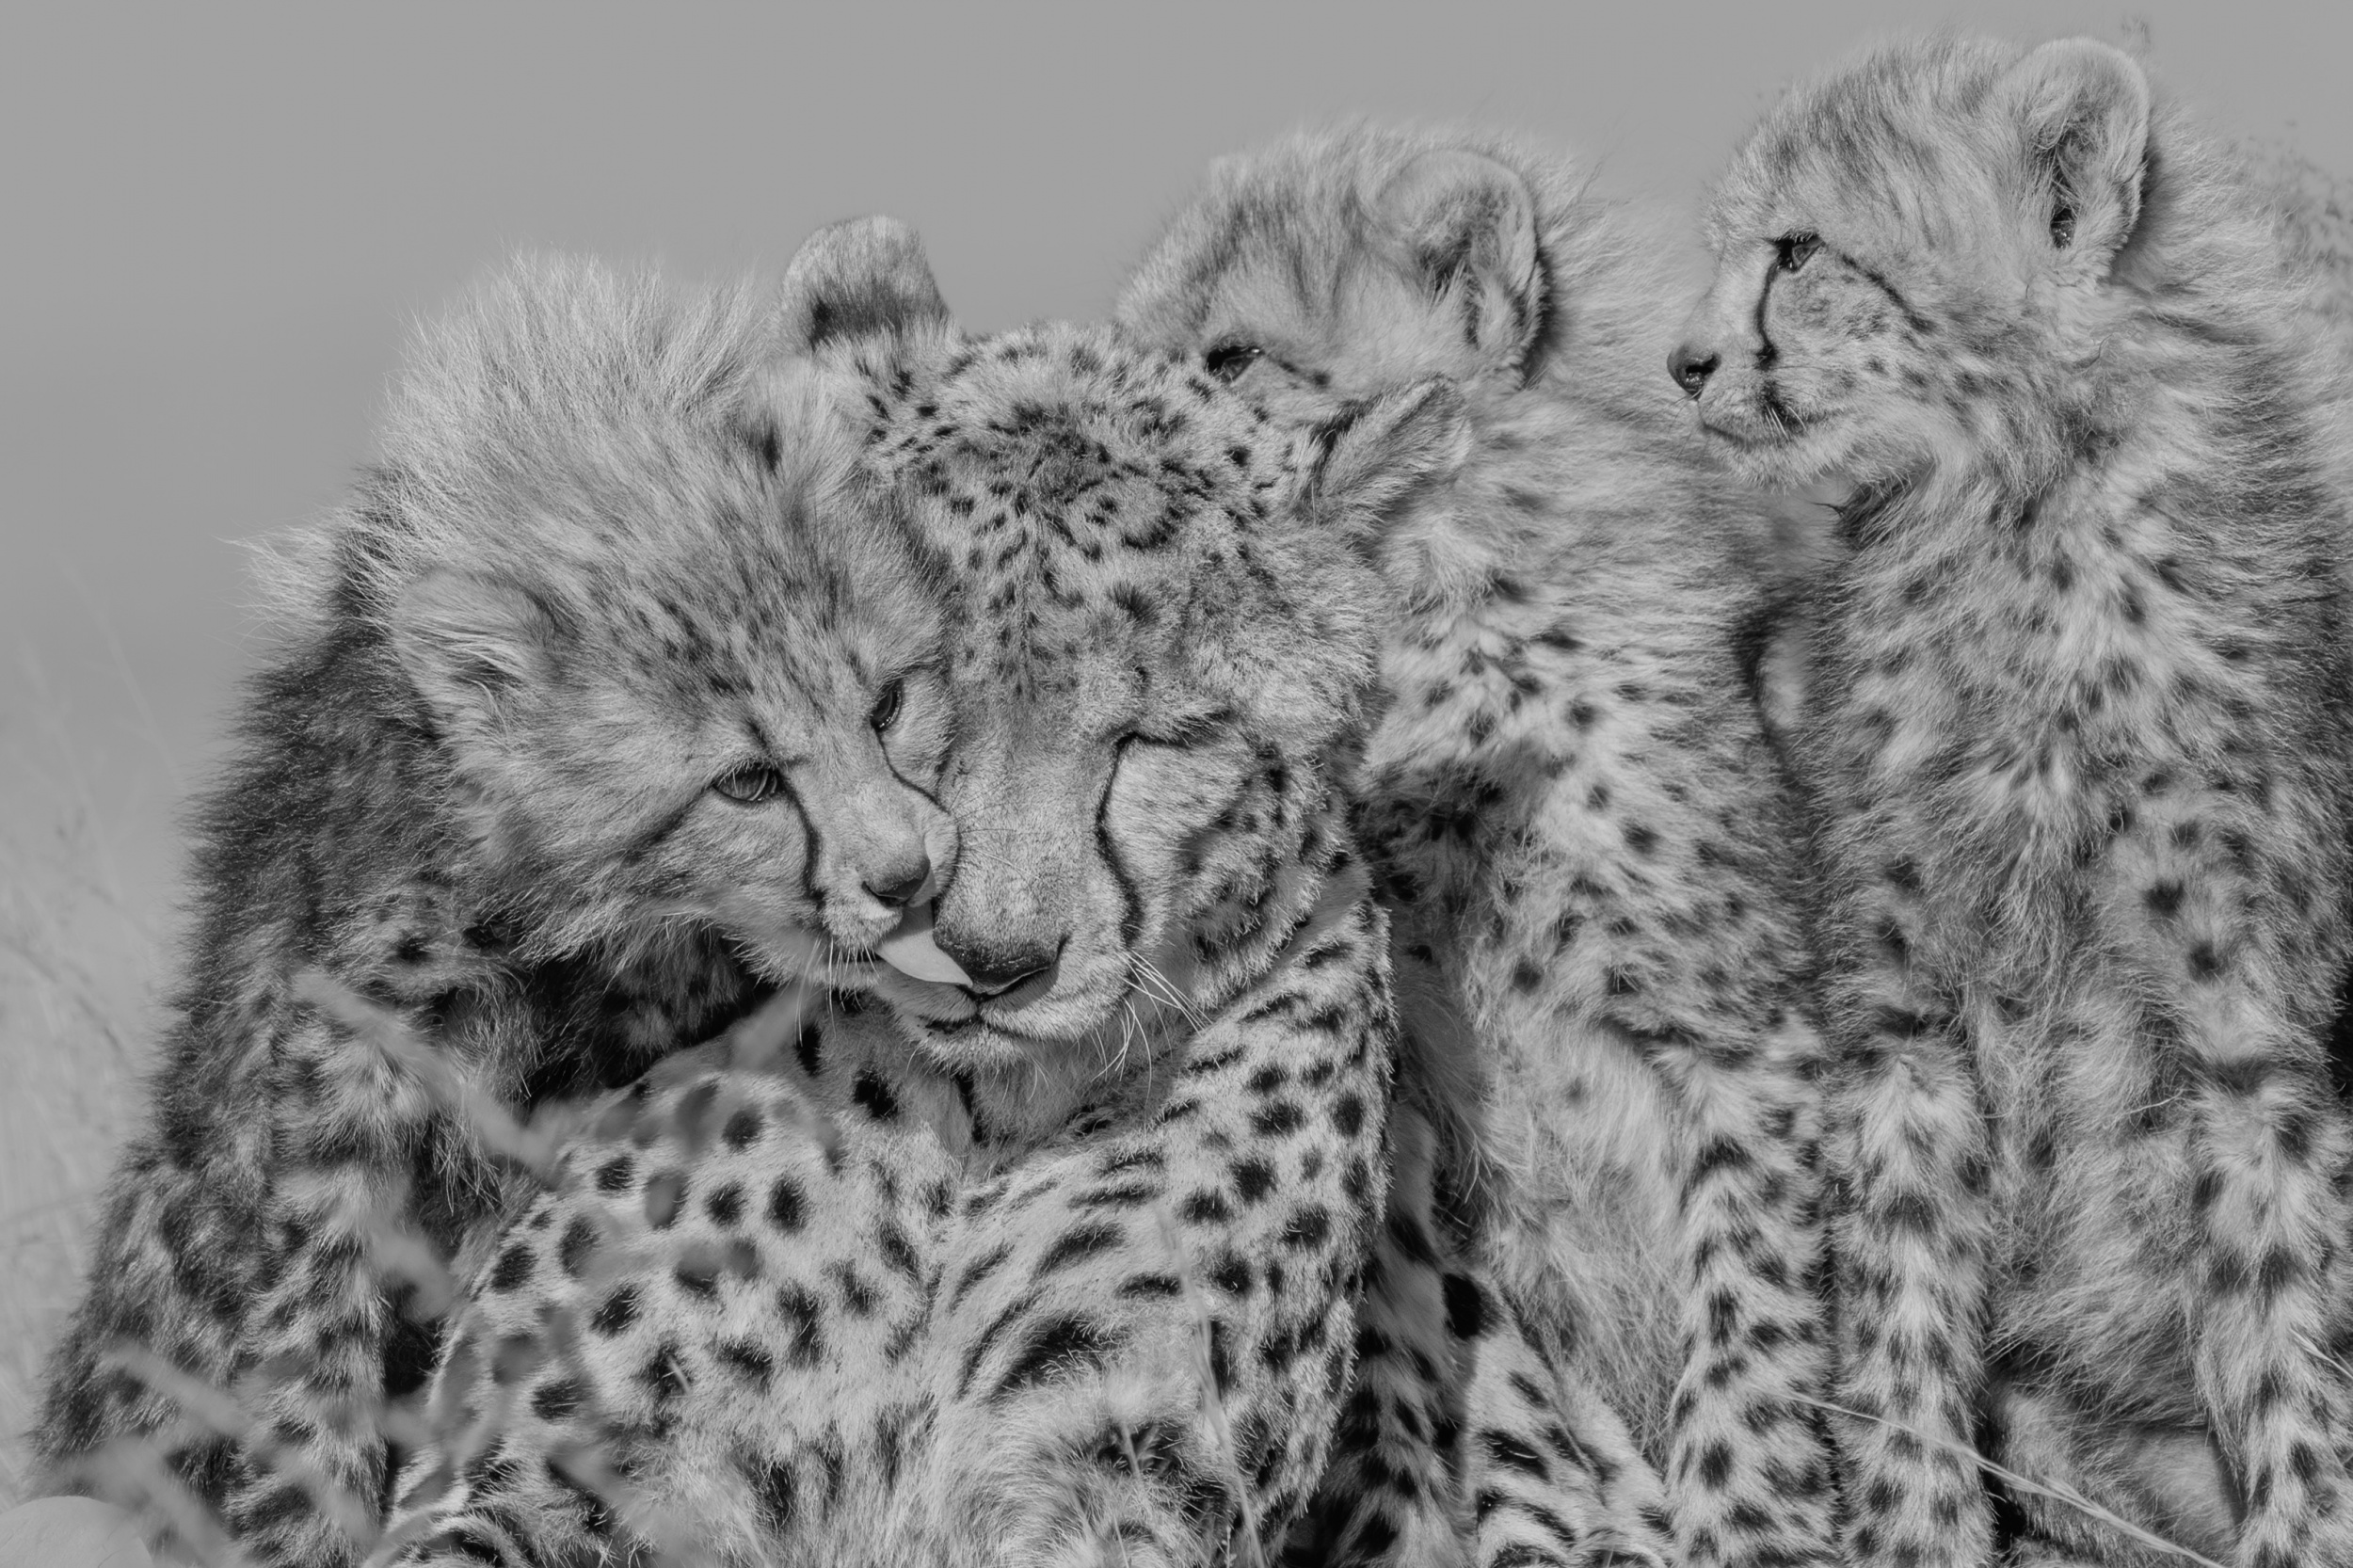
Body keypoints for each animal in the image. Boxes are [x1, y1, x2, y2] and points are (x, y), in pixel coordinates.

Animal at [32, 229, 967, 1567]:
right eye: (745, 779)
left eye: (888, 704)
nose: (905, 877)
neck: (566, 925)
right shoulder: (328, 1100)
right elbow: (302, 1360)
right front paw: (301, 1523)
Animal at [369, 234, 1478, 1568]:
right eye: (905, 698)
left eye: (1153, 736)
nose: (991, 957)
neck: (976, 1127)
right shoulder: (539, 1469)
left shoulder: (1124, 1475)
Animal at [1117, 122, 1839, 1568]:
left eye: (1229, 360)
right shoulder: (1403, 1115)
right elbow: (1463, 1360)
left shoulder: (1742, 1030)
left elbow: (1753, 1314)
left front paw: (1752, 1521)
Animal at [1671, 33, 2353, 1568]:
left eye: (1797, 251)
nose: (1682, 363)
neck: (2009, 514)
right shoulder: (1902, 1031)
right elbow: (1902, 1318)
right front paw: (1915, 1530)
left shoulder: (2251, 1041)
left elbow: (2294, 1325)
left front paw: (2309, 1525)